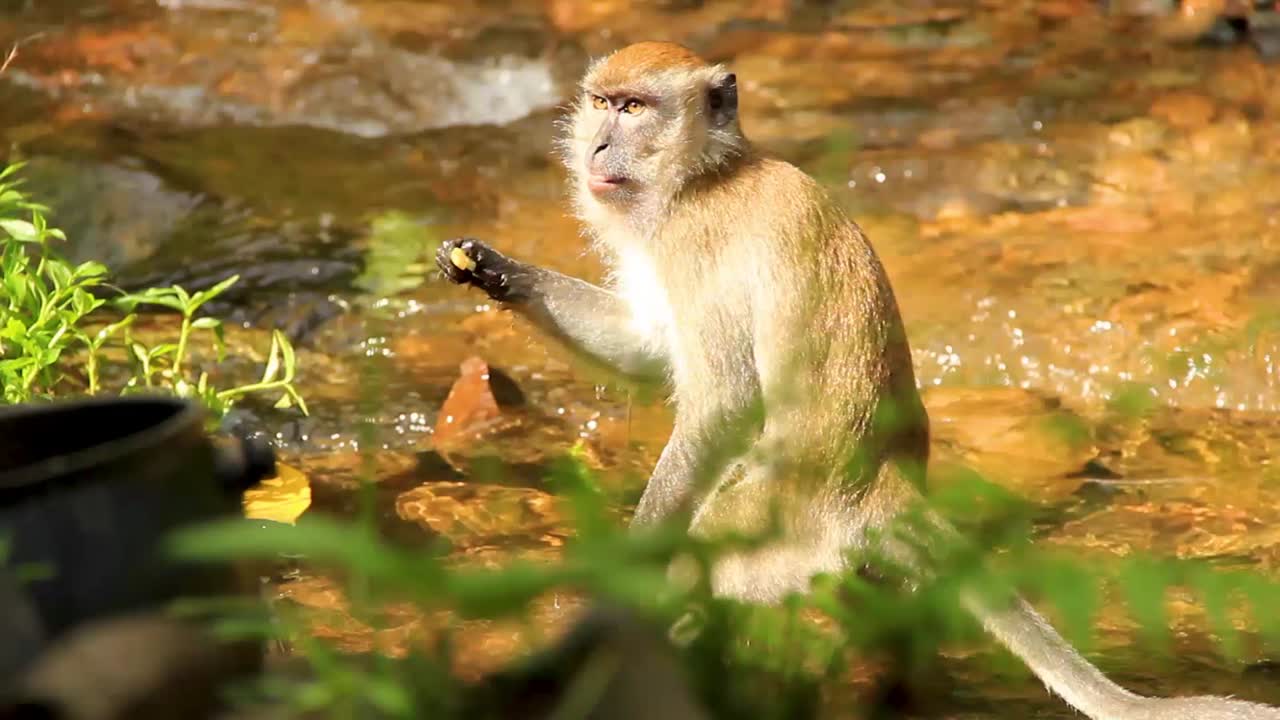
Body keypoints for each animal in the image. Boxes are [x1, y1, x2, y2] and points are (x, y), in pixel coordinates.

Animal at [435, 41, 1280, 720]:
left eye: (636, 107)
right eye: (603, 103)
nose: (600, 144)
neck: (706, 175)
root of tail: (877, 479)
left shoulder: (695, 242)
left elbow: (723, 401)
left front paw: (627, 569)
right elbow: (648, 346)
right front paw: (491, 268)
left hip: (772, 528)